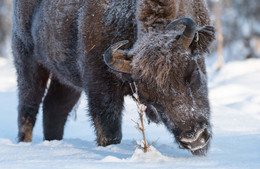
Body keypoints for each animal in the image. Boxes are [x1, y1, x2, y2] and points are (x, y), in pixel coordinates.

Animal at [12, 0, 215, 156]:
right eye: (149, 97)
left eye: (194, 73)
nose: (194, 138)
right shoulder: (101, 88)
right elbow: (110, 132)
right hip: (29, 63)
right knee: (28, 108)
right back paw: (25, 143)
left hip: (65, 81)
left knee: (54, 109)